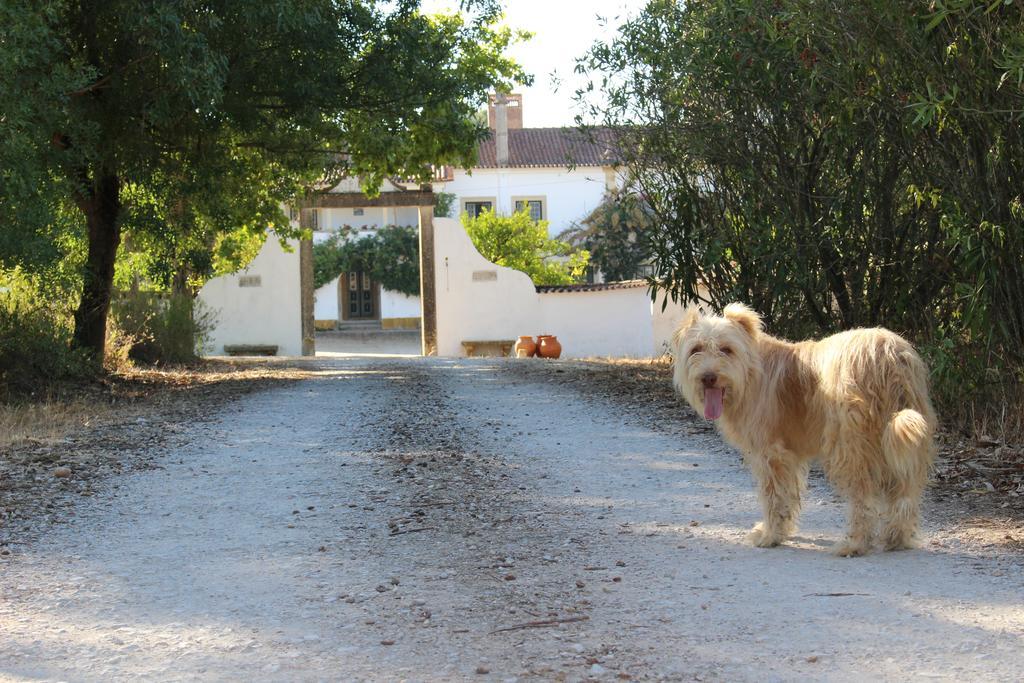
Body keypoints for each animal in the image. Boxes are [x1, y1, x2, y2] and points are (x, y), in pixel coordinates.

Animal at [671, 305, 937, 557]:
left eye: (726, 349)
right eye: (696, 349)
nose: (708, 377)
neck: (750, 373)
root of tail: (889, 354)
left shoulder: (771, 455)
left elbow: (774, 497)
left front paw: (770, 535)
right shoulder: (790, 455)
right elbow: (789, 494)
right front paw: (782, 531)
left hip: (850, 446)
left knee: (864, 496)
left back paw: (854, 544)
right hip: (899, 440)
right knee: (904, 492)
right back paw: (896, 538)